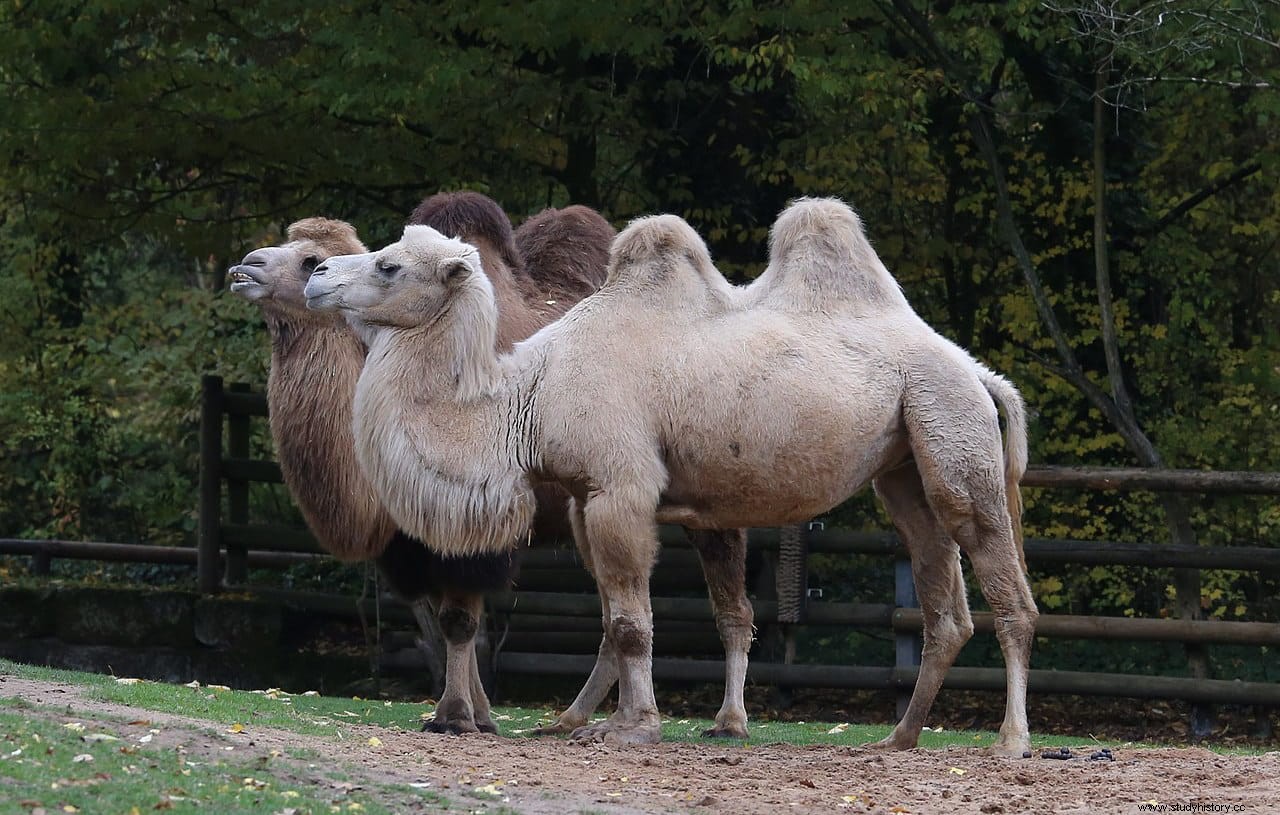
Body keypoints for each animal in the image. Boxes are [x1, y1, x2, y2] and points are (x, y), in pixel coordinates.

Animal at [309, 198, 1039, 757]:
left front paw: (635, 727)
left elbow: (633, 620)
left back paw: (1011, 740)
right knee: (943, 600)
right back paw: (899, 737)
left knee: (1005, 587)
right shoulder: (584, 496)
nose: (317, 274)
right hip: (905, 465)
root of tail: (976, 370)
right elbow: (613, 616)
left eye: (390, 264)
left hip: (952, 428)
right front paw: (588, 721)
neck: (526, 400)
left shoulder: (620, 486)